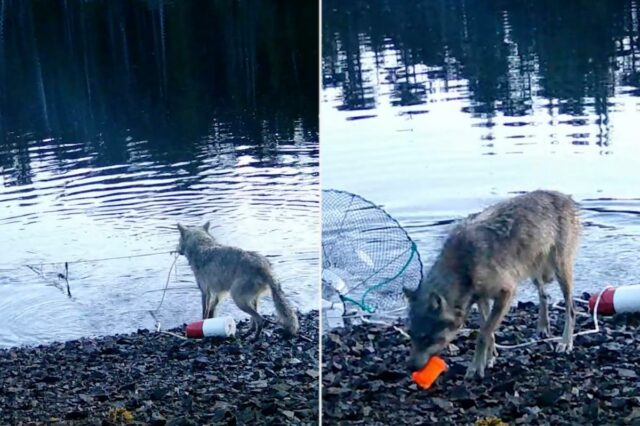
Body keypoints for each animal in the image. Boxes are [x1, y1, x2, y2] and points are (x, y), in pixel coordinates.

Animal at [404, 190, 580, 379]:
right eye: (411, 335)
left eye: (426, 338)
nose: (410, 367)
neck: (462, 267)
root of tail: (563, 196)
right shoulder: (482, 298)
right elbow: (488, 331)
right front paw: (489, 359)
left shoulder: (506, 293)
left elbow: (483, 333)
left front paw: (476, 367)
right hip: (533, 271)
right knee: (544, 295)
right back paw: (542, 327)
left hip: (560, 270)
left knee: (571, 308)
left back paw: (565, 343)